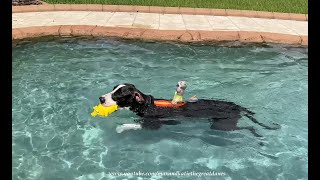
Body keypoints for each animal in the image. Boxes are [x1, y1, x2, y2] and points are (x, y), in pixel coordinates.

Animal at [100, 83, 280, 136]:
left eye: (119, 95)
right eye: (113, 88)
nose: (101, 98)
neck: (146, 104)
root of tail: (237, 105)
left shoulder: (154, 124)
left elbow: (137, 125)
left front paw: (121, 128)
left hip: (222, 125)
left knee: (247, 127)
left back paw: (256, 134)